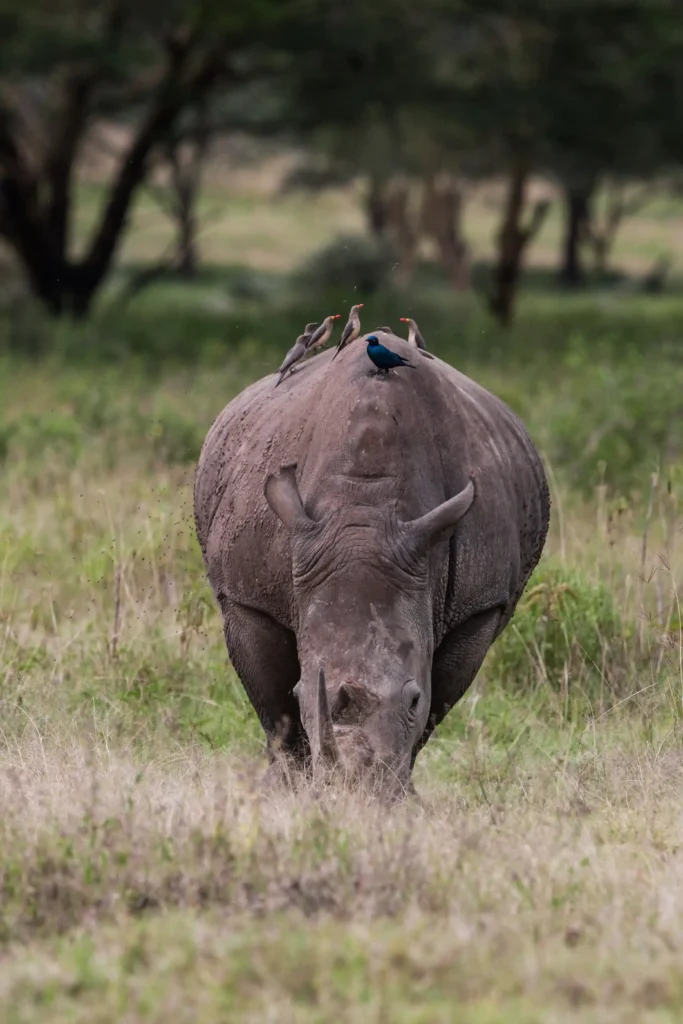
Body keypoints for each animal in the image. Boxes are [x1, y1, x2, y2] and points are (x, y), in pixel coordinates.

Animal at [194, 331, 550, 797]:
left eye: (413, 698)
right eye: (302, 693)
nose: (354, 789)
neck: (365, 511)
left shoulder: (480, 605)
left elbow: (437, 704)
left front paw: (403, 795)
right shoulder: (247, 596)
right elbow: (274, 708)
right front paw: (286, 790)